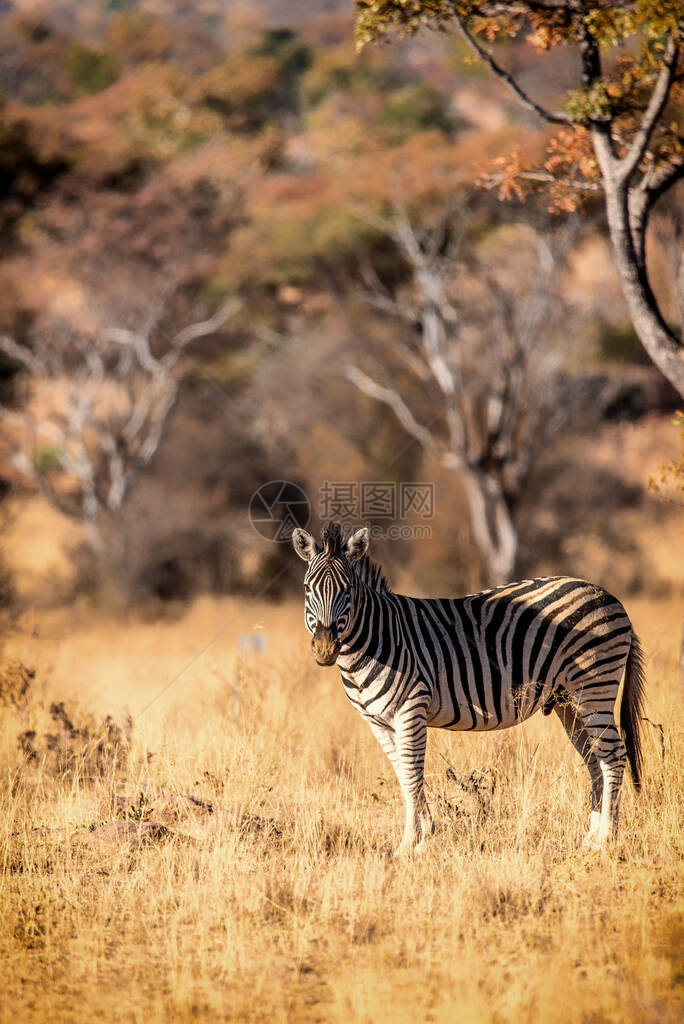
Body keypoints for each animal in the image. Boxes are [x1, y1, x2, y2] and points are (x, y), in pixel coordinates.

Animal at [290, 520, 643, 856]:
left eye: (348, 589)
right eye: (307, 588)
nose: (324, 649)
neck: (376, 638)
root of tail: (611, 598)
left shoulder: (411, 709)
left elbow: (412, 775)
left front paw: (408, 845)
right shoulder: (377, 721)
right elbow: (404, 777)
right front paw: (423, 838)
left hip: (594, 687)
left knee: (613, 755)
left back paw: (606, 840)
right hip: (568, 701)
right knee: (594, 759)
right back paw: (590, 839)